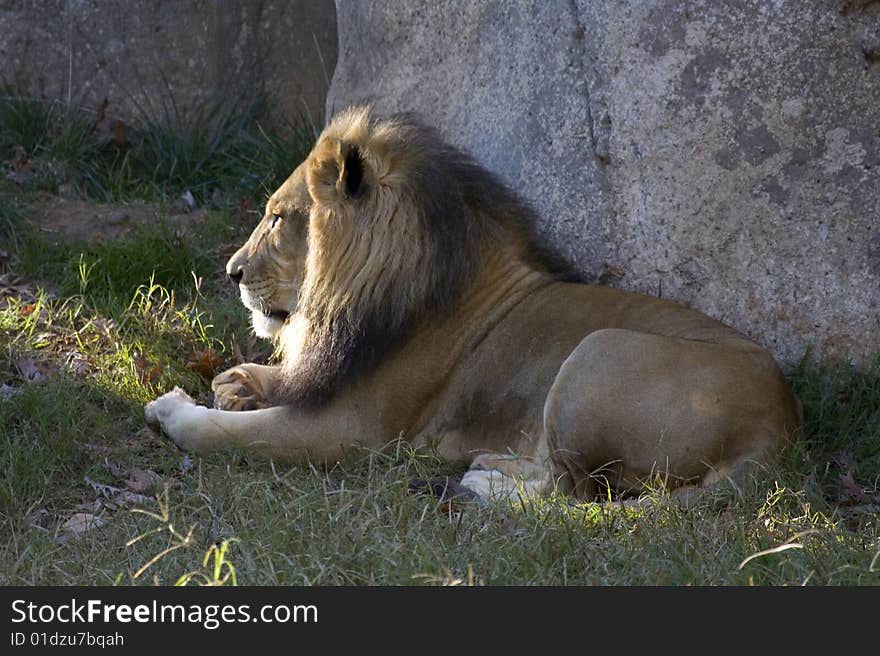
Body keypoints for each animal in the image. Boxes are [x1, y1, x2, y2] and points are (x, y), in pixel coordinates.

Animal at [146, 105, 804, 504]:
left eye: (278, 217)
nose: (231, 272)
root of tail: (781, 426)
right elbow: (269, 381)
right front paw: (236, 383)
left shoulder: (352, 429)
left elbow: (228, 436)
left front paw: (177, 409)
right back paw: (489, 465)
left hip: (595, 354)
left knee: (575, 491)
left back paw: (480, 486)